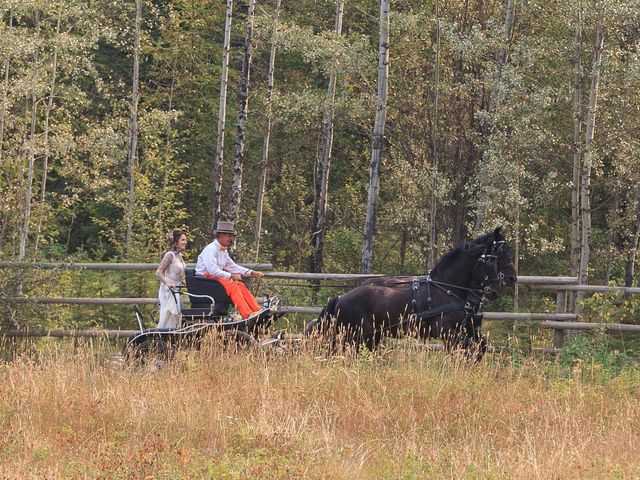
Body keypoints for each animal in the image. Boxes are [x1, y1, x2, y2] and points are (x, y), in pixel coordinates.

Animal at [308, 228, 516, 360]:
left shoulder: (466, 327)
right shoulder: (445, 330)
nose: (511, 278)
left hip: (370, 335)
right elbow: (469, 347)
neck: (447, 288)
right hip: (358, 335)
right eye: (497, 257)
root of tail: (341, 298)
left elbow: (481, 346)